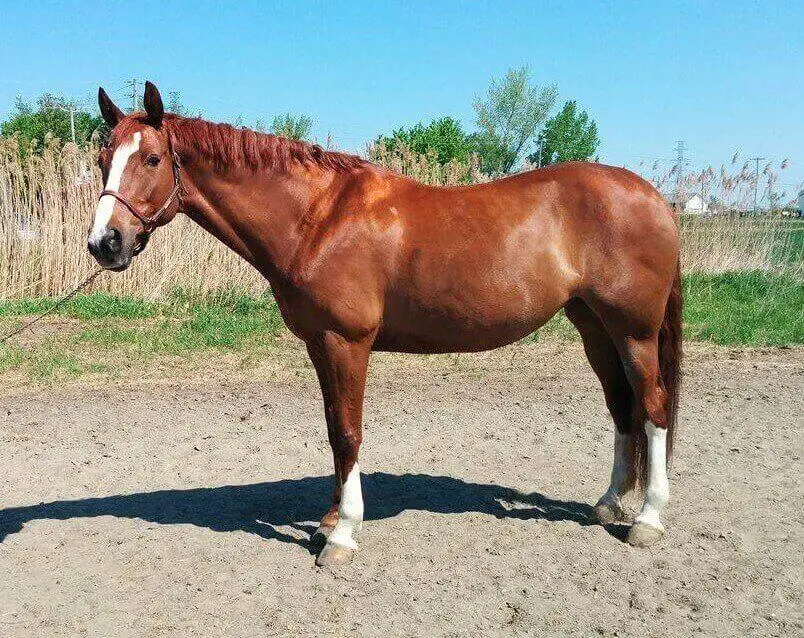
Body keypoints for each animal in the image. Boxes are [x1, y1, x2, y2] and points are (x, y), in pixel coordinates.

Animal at [89, 82, 682, 566]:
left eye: (151, 158)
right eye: (101, 159)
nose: (105, 243)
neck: (318, 217)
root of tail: (655, 197)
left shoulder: (346, 342)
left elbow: (349, 431)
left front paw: (342, 535)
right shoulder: (320, 345)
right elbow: (334, 429)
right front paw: (328, 520)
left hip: (633, 331)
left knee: (652, 406)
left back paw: (648, 520)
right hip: (594, 326)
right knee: (621, 407)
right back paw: (609, 503)